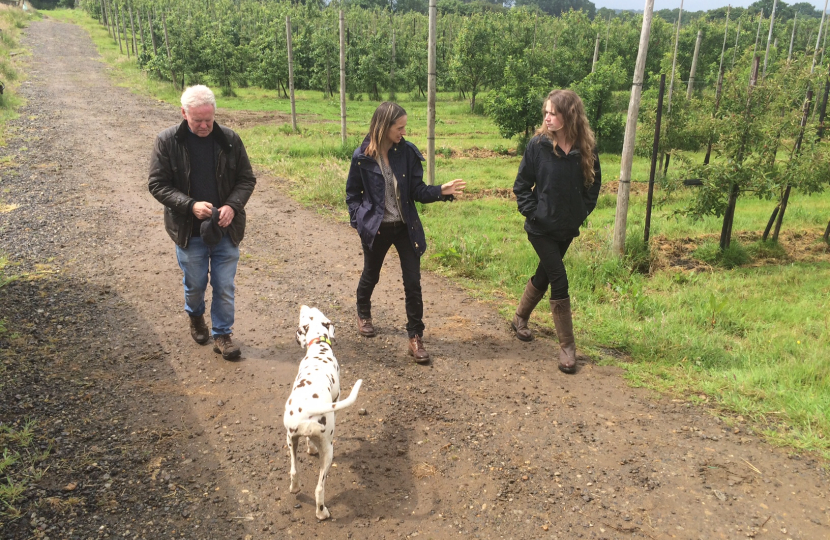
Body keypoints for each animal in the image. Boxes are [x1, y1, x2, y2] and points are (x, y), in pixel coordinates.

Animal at [284, 306, 362, 520]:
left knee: (294, 471)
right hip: (328, 452)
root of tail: (309, 406)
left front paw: (310, 449)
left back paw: (295, 488)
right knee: (319, 488)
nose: (302, 305)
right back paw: (322, 512)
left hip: (290, 440)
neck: (319, 347)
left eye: (310, 311)